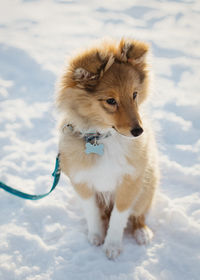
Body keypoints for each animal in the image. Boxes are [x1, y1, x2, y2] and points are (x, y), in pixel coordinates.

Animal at [55, 38, 159, 260]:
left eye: (135, 94)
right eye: (111, 101)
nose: (138, 131)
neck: (103, 137)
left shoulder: (130, 181)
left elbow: (119, 217)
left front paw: (112, 246)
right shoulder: (81, 181)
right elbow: (92, 211)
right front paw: (96, 237)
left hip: (147, 187)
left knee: (139, 215)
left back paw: (142, 232)